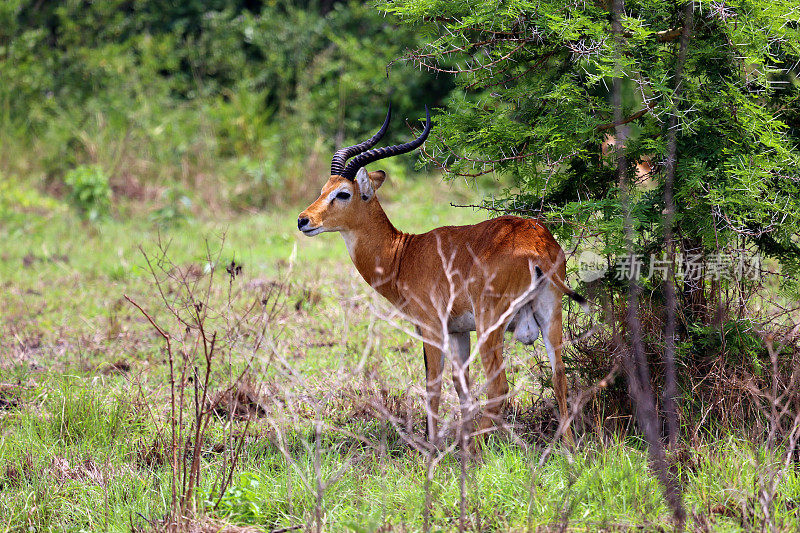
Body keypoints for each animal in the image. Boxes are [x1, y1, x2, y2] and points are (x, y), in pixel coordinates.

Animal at [296, 104, 584, 444]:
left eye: (342, 193)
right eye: (323, 189)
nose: (303, 220)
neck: (402, 254)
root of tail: (537, 245)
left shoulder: (431, 327)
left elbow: (432, 385)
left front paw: (432, 446)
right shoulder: (458, 331)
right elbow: (462, 388)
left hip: (491, 323)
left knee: (499, 385)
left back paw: (479, 448)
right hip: (549, 315)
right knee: (559, 375)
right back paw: (566, 448)